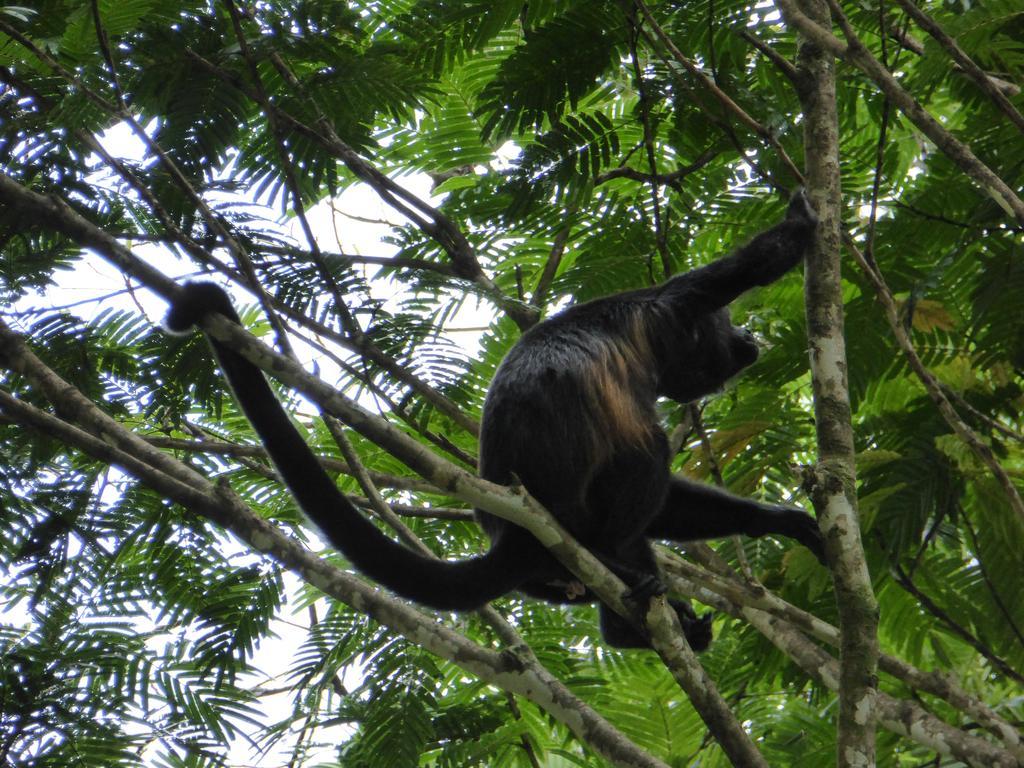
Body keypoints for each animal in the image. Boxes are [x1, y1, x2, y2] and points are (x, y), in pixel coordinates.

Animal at [165, 188, 823, 651]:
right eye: (726, 322)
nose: (747, 340)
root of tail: (512, 537)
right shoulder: (669, 303)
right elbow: (740, 269)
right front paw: (800, 220)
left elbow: (673, 508)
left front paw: (783, 521)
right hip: (574, 519)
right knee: (645, 450)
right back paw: (620, 574)